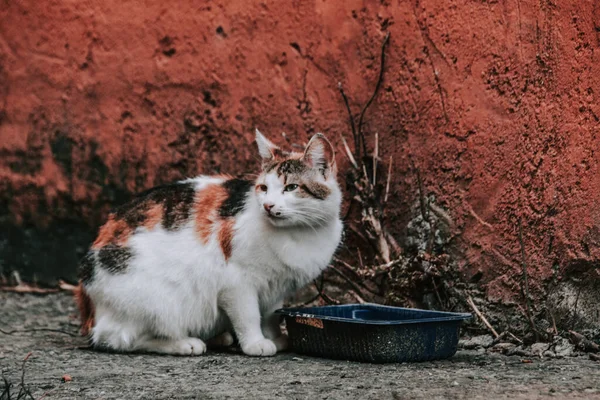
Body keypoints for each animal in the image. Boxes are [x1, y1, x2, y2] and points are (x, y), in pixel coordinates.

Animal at [75, 130, 342, 356]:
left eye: (292, 187)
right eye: (264, 188)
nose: (268, 205)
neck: (298, 232)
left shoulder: (275, 286)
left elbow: (270, 316)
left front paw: (275, 338)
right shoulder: (236, 283)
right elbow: (249, 315)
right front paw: (256, 343)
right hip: (158, 300)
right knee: (119, 339)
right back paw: (185, 343)